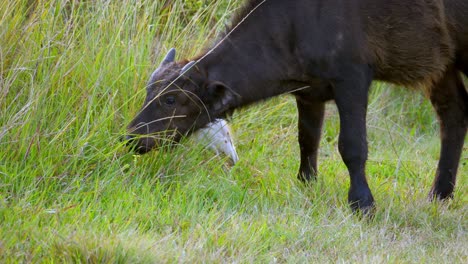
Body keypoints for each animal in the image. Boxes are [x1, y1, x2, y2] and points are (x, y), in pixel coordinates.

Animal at [126, 0, 466, 213]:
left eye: (171, 99)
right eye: (149, 92)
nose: (132, 138)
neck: (299, 22)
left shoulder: (352, 81)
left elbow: (352, 146)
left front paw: (362, 203)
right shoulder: (309, 93)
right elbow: (307, 140)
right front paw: (307, 184)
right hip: (442, 68)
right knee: (454, 114)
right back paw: (440, 194)